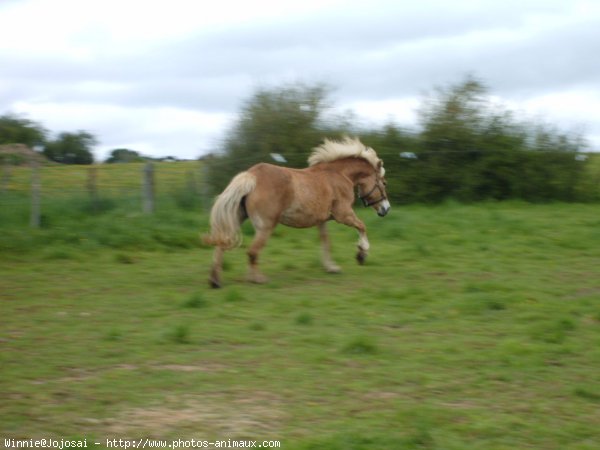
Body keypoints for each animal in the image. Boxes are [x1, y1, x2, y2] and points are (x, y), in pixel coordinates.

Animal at [204, 135, 392, 288]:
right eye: (383, 183)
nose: (386, 209)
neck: (339, 175)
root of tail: (251, 176)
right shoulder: (343, 214)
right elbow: (362, 226)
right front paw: (361, 254)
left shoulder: (322, 221)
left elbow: (326, 242)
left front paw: (331, 267)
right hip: (266, 226)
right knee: (252, 251)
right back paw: (257, 279)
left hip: (238, 217)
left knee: (222, 245)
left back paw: (215, 281)